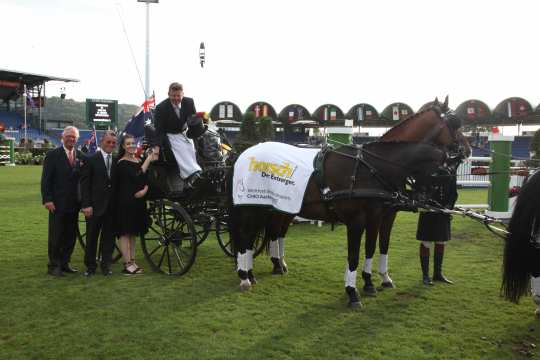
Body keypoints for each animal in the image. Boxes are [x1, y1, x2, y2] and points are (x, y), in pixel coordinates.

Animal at [228, 97, 464, 306]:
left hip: (273, 207)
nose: (466, 149)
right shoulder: (357, 220)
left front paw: (372, 282)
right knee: (245, 236)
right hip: (252, 206)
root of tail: (243, 154)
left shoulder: (379, 216)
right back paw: (245, 276)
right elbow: (354, 255)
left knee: (262, 235)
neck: (372, 167)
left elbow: (373, 247)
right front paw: (353, 292)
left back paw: (260, 270)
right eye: (454, 123)